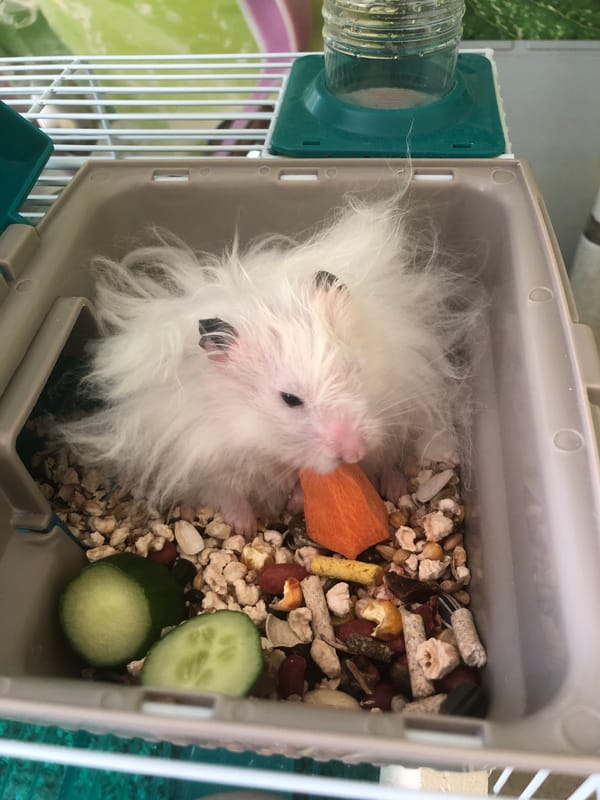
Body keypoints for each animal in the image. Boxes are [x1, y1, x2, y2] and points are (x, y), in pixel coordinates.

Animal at [58, 193, 480, 536]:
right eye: (289, 399)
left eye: (354, 369)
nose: (353, 454)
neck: (265, 439)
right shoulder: (203, 456)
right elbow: (228, 494)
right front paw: (244, 527)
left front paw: (293, 503)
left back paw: (394, 486)